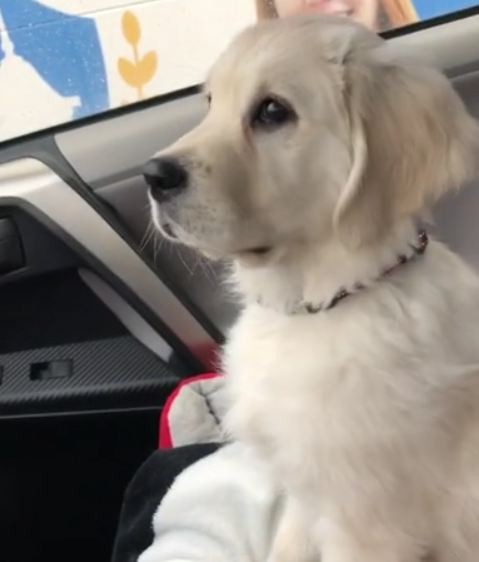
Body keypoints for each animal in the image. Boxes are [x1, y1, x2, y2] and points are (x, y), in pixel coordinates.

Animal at [144, 15, 479, 560]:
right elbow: (286, 544)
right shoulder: (304, 489)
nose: (152, 175)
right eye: (211, 102)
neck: (319, 304)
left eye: (272, 111)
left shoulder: (367, 524)